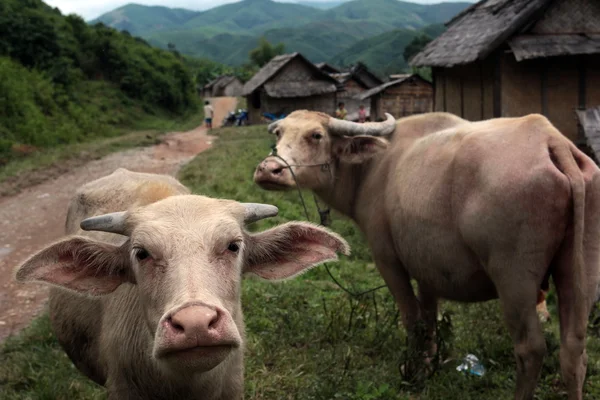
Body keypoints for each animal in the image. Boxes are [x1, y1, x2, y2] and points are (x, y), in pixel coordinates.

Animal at [253, 110, 600, 400]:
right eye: (279, 133)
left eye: (316, 135)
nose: (268, 170)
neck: (372, 169)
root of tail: (551, 140)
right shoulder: (428, 269)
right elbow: (430, 319)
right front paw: (431, 364)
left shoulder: (388, 260)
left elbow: (412, 318)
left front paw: (414, 371)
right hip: (580, 272)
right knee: (574, 350)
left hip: (514, 277)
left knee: (531, 348)